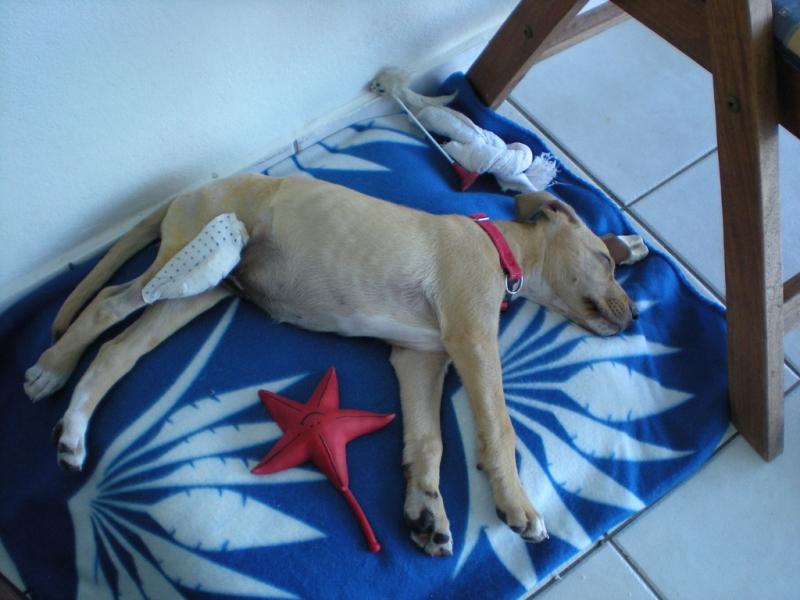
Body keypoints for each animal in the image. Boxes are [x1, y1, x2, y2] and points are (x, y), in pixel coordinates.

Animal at [24, 173, 641, 557]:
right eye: (605, 261)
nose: (635, 317)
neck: (499, 245)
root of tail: (191, 189)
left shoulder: (420, 360)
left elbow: (428, 441)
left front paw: (426, 510)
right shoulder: (472, 338)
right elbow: (500, 427)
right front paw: (516, 505)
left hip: (202, 291)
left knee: (119, 349)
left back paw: (72, 426)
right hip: (188, 260)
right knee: (106, 306)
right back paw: (52, 372)